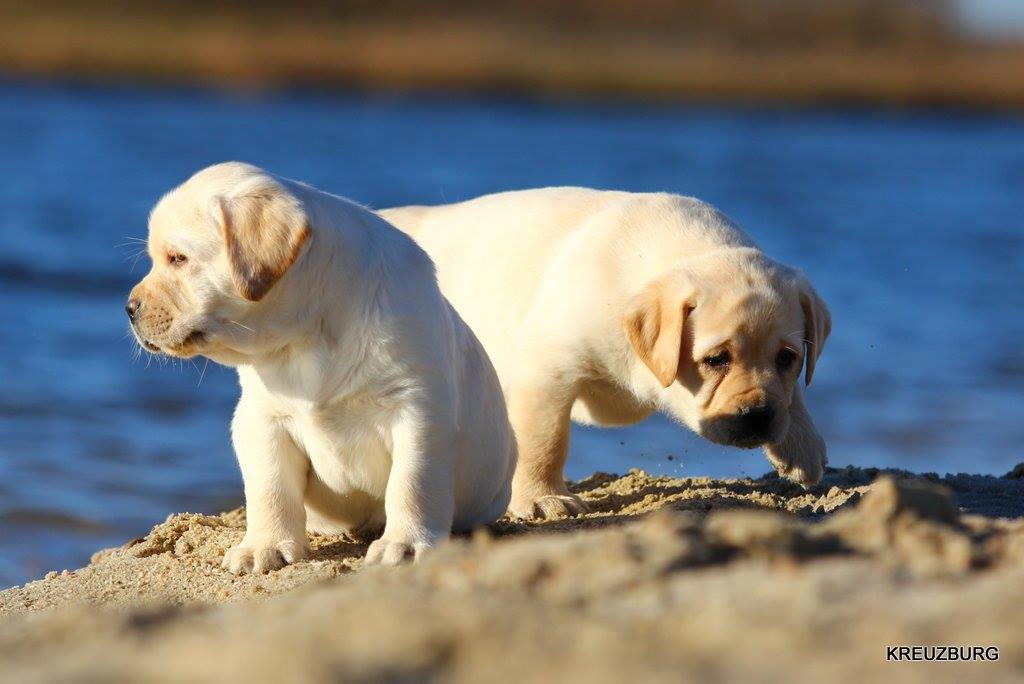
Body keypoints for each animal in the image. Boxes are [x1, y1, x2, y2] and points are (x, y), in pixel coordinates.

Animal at [127, 162, 515, 571]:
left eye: (178, 258)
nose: (129, 308)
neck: (306, 336)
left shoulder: (417, 409)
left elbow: (412, 482)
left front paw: (405, 543)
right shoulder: (261, 418)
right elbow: (270, 487)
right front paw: (263, 546)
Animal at [381, 188, 830, 519]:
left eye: (787, 358)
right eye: (717, 359)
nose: (758, 416)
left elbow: (793, 395)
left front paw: (802, 446)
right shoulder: (547, 371)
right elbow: (545, 440)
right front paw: (541, 497)